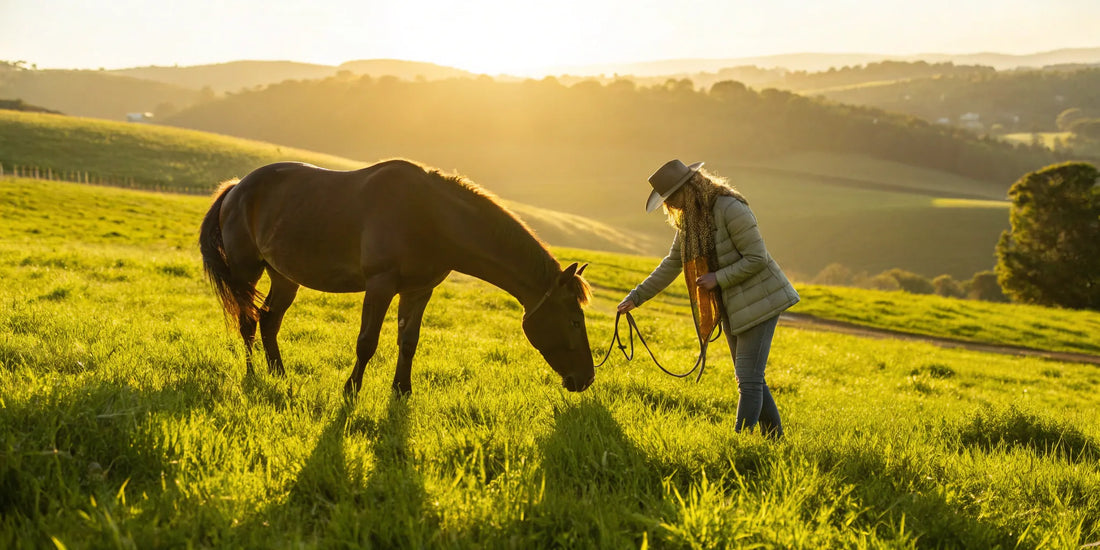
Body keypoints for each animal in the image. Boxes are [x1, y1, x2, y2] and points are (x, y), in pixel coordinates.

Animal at [198, 159, 595, 396]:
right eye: (575, 321)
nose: (586, 378)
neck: (431, 216)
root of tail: (236, 188)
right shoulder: (380, 285)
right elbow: (367, 342)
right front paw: (351, 389)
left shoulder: (419, 291)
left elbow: (409, 341)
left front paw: (402, 390)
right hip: (246, 270)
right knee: (248, 321)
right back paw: (253, 376)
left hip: (284, 276)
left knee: (269, 320)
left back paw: (279, 374)